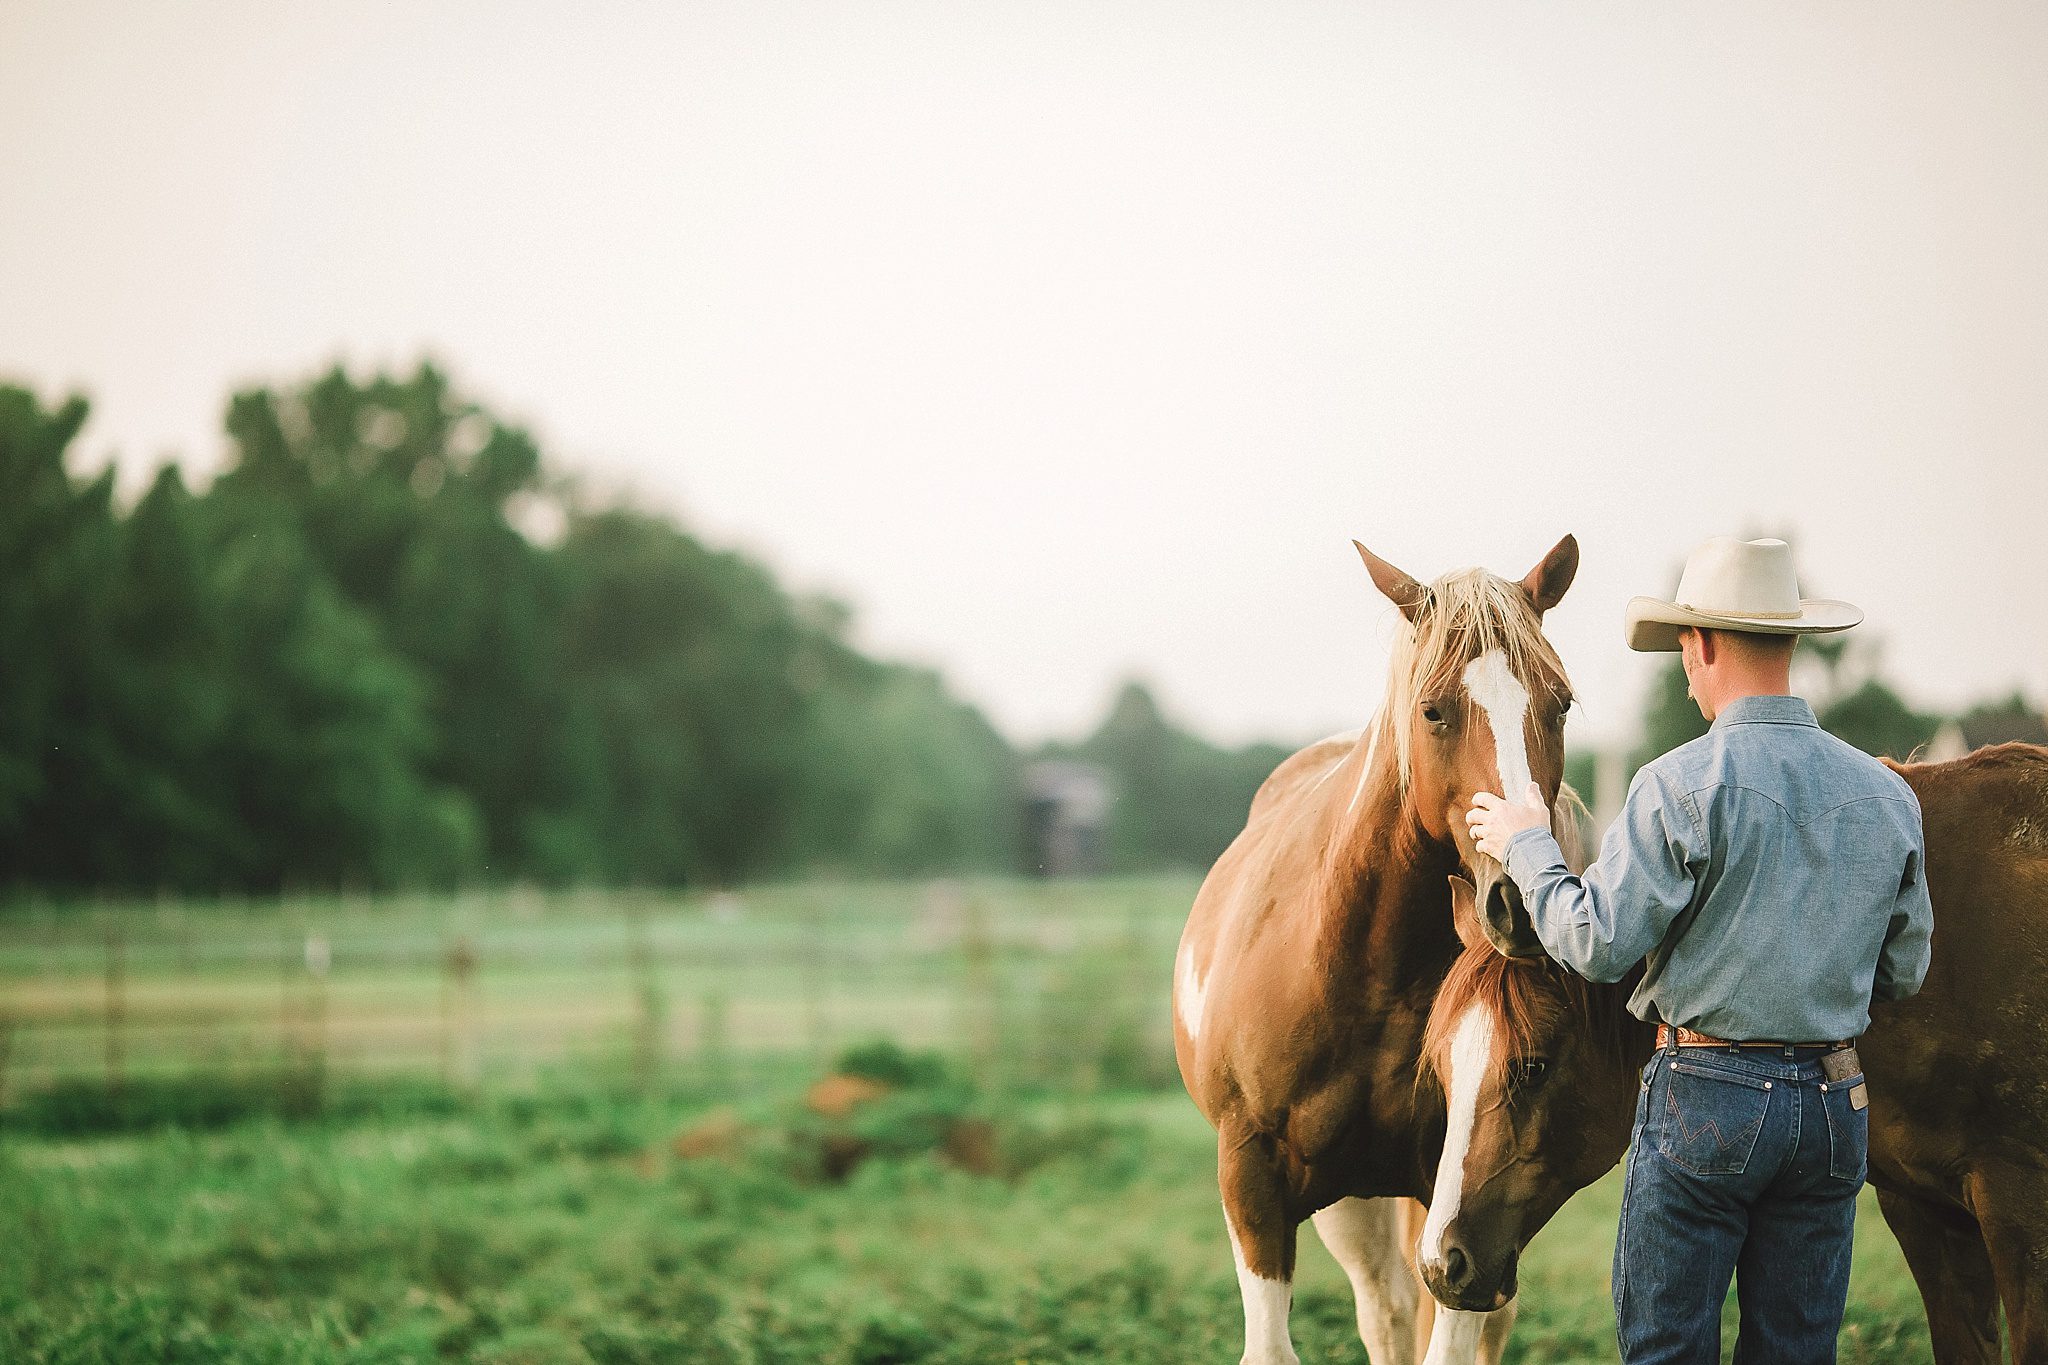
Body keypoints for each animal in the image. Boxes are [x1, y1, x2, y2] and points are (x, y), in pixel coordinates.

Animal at [1171, 532, 1581, 1365]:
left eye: (1560, 703)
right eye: (1433, 710)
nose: (1523, 900)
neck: (1359, 965)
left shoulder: (1469, 1192)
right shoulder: (1254, 1176)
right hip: (1352, 1201)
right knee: (1384, 1307)